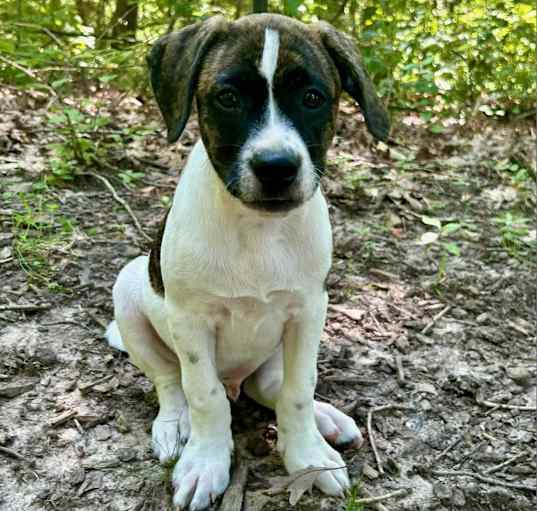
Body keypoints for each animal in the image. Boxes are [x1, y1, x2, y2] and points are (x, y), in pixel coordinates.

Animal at [105, 13, 390, 511]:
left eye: (312, 98)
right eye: (228, 98)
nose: (276, 167)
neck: (257, 230)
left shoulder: (308, 311)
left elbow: (298, 390)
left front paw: (307, 455)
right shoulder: (191, 320)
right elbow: (204, 395)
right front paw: (206, 461)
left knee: (272, 387)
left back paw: (326, 419)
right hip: (129, 290)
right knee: (171, 381)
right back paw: (175, 426)